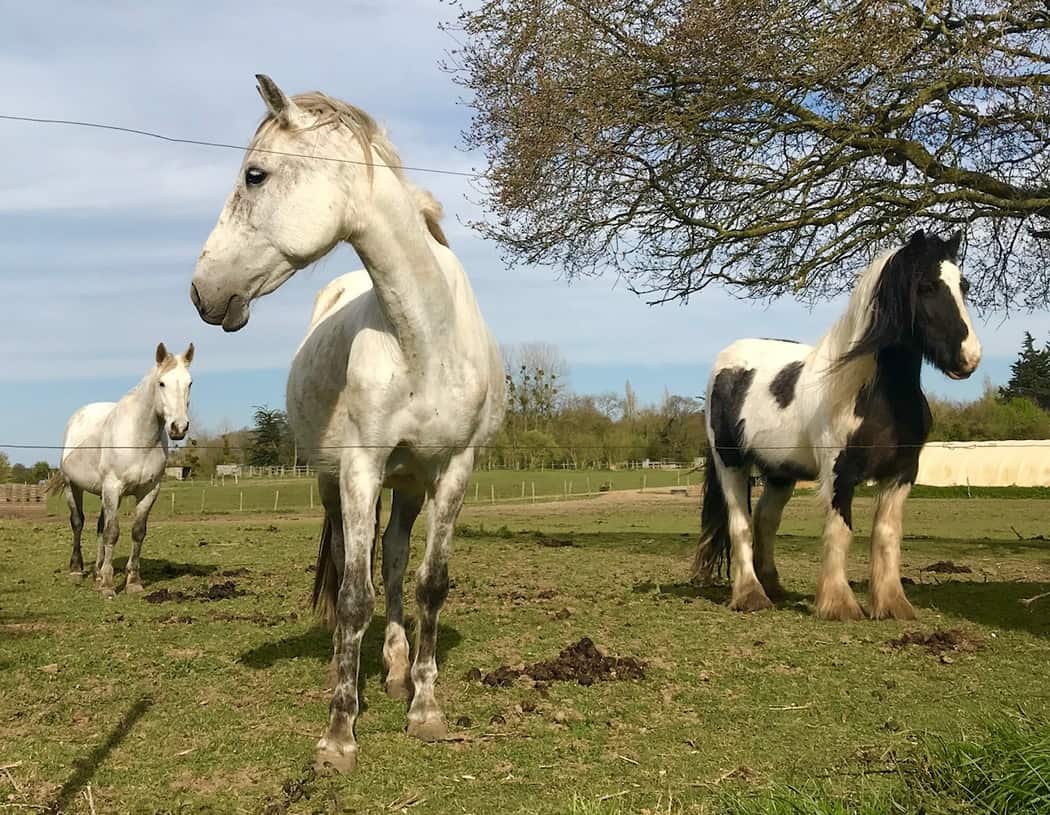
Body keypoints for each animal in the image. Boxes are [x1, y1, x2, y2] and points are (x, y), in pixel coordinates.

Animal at [51, 343, 193, 598]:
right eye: (162, 383)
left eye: (190, 383)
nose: (178, 427)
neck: (139, 440)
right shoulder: (113, 487)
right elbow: (112, 532)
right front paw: (108, 585)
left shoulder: (149, 490)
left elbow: (137, 532)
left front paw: (133, 582)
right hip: (72, 486)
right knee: (78, 522)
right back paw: (77, 570)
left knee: (99, 526)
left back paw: (97, 573)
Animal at [190, 76, 505, 773]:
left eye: (255, 175)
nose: (201, 292)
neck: (424, 336)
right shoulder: (361, 467)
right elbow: (355, 594)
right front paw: (338, 734)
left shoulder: (454, 469)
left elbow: (430, 585)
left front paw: (425, 708)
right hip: (335, 481)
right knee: (350, 564)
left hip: (409, 483)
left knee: (394, 559)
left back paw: (395, 670)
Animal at [693, 230, 981, 621]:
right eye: (926, 286)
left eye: (963, 285)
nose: (969, 357)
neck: (871, 393)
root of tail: (725, 363)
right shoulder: (837, 473)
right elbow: (839, 531)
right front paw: (838, 604)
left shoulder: (902, 474)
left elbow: (886, 535)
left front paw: (892, 603)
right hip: (731, 464)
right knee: (741, 523)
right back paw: (751, 595)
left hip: (780, 472)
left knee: (766, 520)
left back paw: (773, 587)